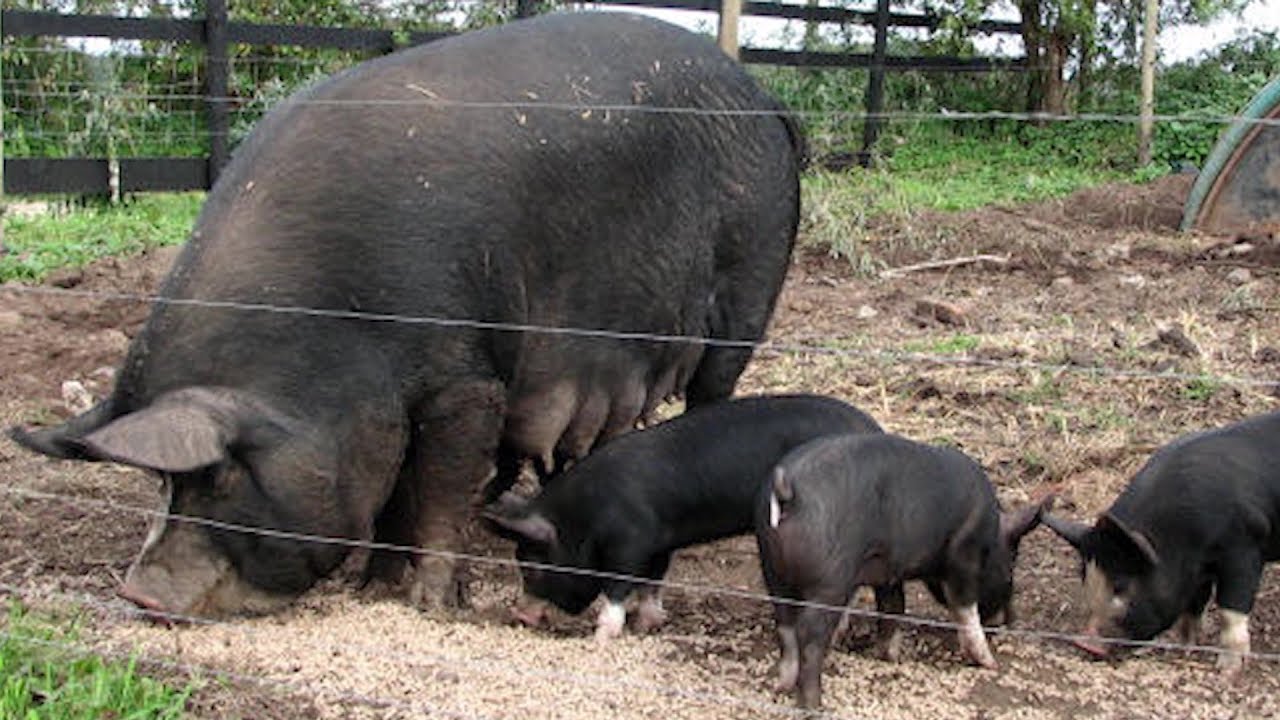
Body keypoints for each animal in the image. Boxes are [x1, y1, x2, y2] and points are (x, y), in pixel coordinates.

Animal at [6, 12, 804, 617]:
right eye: (161, 484)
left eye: (221, 477)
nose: (139, 594)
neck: (339, 327)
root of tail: (766, 96)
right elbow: (396, 488)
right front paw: (373, 588)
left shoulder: (468, 378)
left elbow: (443, 487)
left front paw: (432, 605)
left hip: (749, 288)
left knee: (713, 391)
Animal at [481, 394, 883, 641]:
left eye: (531, 566)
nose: (520, 617)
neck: (583, 520)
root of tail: (875, 431)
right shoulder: (660, 542)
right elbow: (653, 580)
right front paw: (650, 623)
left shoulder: (630, 540)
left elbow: (619, 583)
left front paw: (602, 634)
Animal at [757, 433, 1050, 709]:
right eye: (1010, 572)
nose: (1010, 621)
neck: (990, 536)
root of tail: (788, 493)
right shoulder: (962, 557)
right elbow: (964, 609)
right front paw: (990, 664)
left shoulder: (886, 570)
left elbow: (894, 608)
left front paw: (889, 657)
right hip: (828, 580)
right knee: (809, 635)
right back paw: (814, 705)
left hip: (772, 570)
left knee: (785, 625)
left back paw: (781, 686)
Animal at [1043, 410, 1280, 677]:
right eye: (1085, 579)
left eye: (1121, 584)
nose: (1084, 642)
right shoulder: (1197, 571)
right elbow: (1192, 606)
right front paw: (1184, 648)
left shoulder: (1244, 546)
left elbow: (1230, 611)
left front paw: (1227, 670)